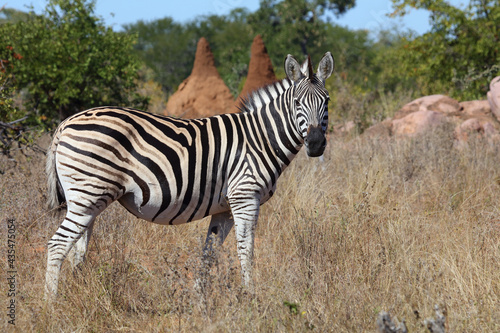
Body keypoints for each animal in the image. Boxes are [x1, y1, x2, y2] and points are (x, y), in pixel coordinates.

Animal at [45, 52, 334, 298]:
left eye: (327, 101)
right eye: (297, 103)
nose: (315, 144)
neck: (260, 138)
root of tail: (66, 122)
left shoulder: (224, 207)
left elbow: (210, 253)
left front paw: (199, 300)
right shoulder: (245, 197)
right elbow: (246, 249)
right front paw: (251, 296)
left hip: (88, 199)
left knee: (77, 249)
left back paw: (81, 293)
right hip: (88, 194)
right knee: (57, 245)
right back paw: (52, 305)